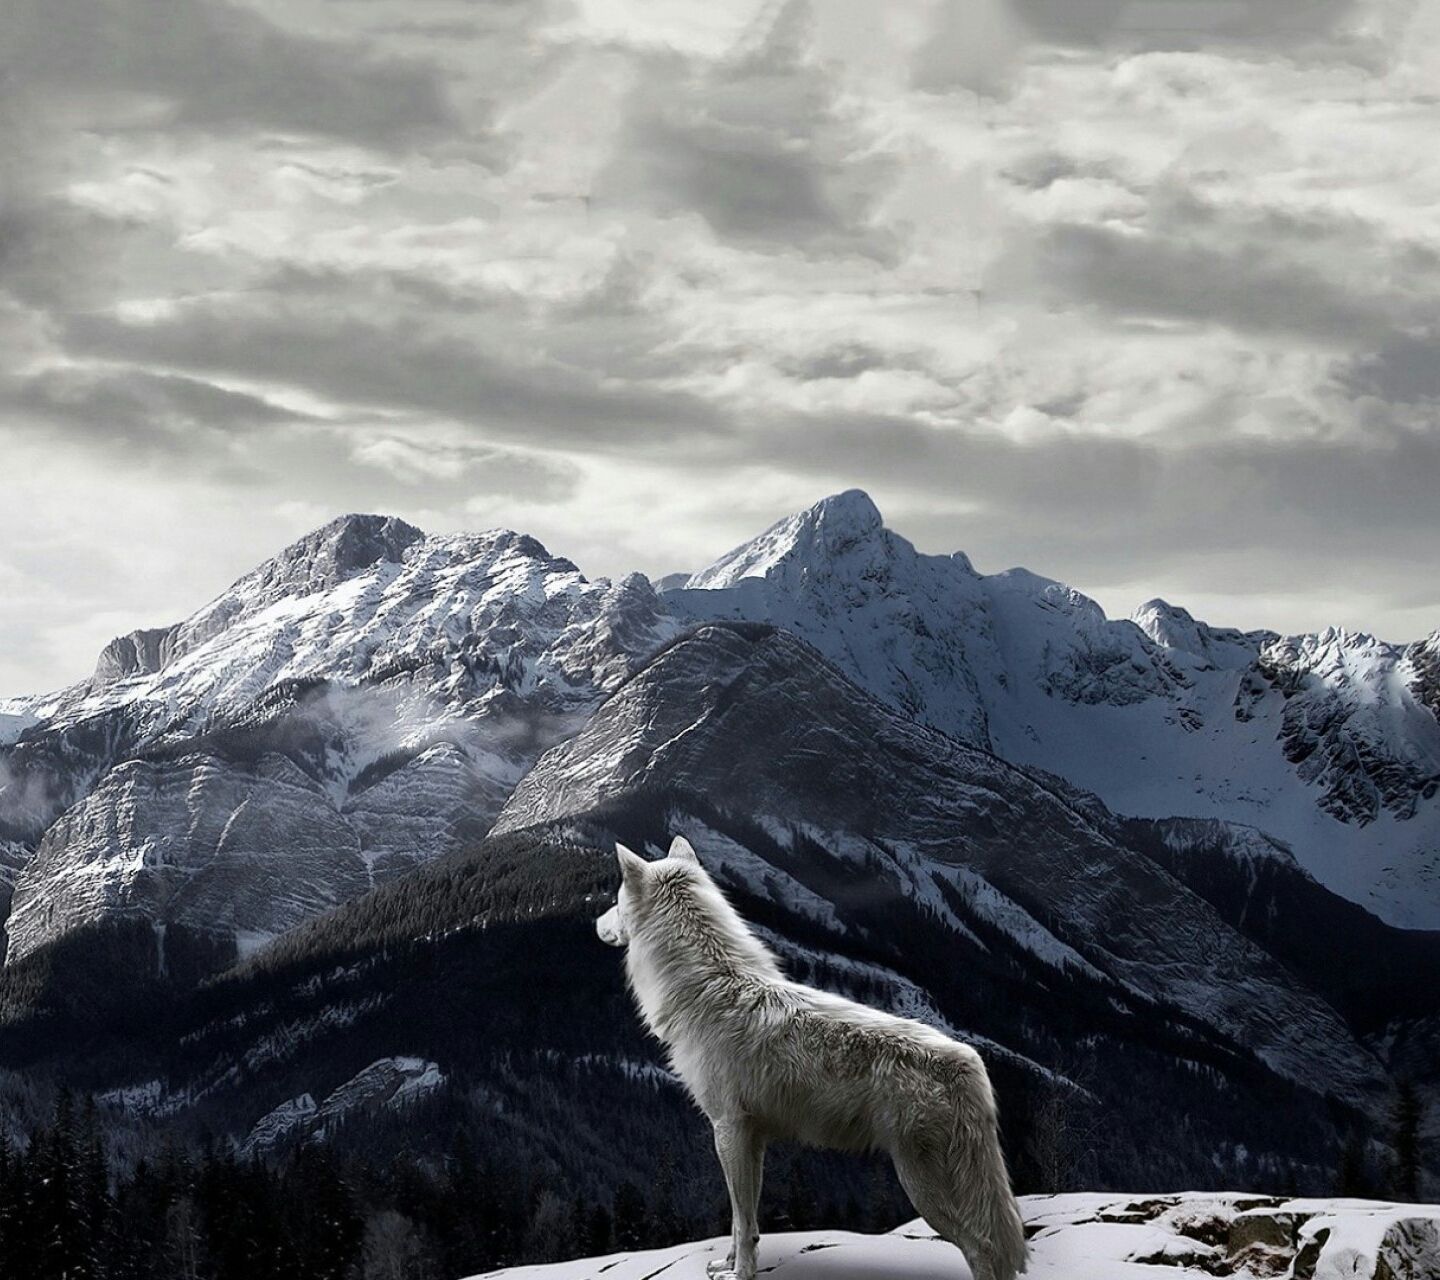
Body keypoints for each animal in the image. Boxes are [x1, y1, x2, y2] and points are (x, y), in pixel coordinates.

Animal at [593, 840, 1025, 1278]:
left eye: (615, 901)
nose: (595, 921)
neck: (707, 987)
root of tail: (967, 1060)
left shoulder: (728, 1129)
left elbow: (741, 1219)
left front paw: (740, 1272)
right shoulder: (751, 1137)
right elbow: (742, 1221)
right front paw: (728, 1262)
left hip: (923, 1188)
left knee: (984, 1248)